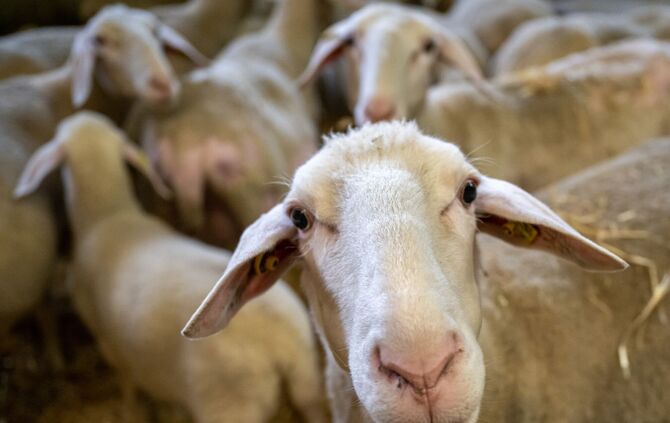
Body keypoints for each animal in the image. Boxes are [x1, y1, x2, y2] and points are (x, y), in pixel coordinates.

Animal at [14, 111, 326, 423]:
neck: (108, 215)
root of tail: (280, 342)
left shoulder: (109, 344)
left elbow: (128, 384)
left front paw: (130, 411)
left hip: (228, 404)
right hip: (308, 380)